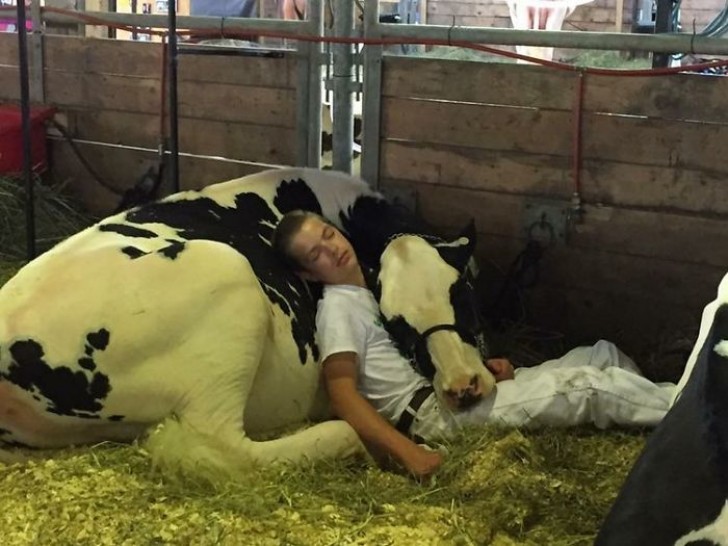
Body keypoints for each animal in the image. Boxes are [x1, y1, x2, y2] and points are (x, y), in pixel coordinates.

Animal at [0, 168, 494, 478]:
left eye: (464, 295)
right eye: (395, 324)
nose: (463, 385)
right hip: (229, 285)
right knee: (223, 448)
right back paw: (345, 440)